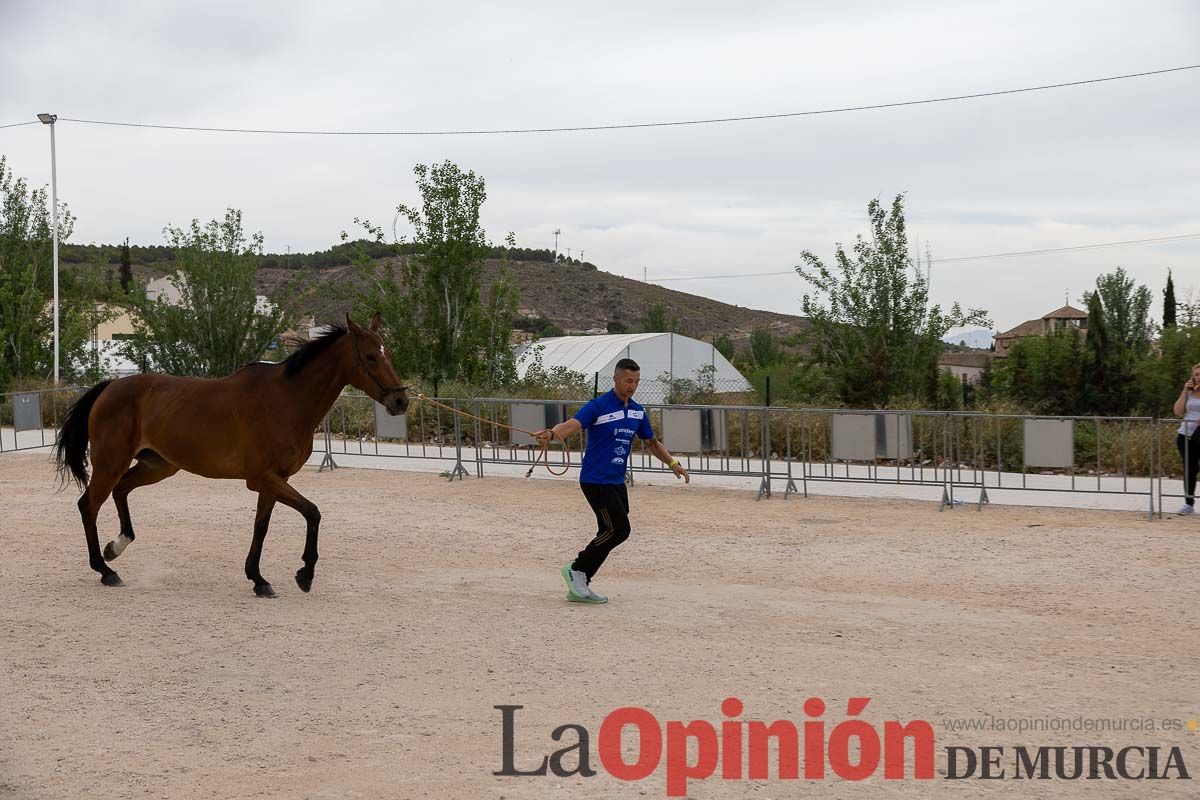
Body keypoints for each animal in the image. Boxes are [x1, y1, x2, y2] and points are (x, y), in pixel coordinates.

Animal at [54, 311, 410, 594]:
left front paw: (258, 579)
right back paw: (105, 569)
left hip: (158, 466)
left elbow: (261, 527)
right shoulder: (263, 478)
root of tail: (110, 386)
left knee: (121, 491)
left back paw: (116, 547)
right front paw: (304, 574)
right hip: (110, 462)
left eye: (389, 352)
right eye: (371, 356)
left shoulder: (272, 482)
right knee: (89, 505)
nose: (400, 401)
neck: (287, 399)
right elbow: (312, 512)